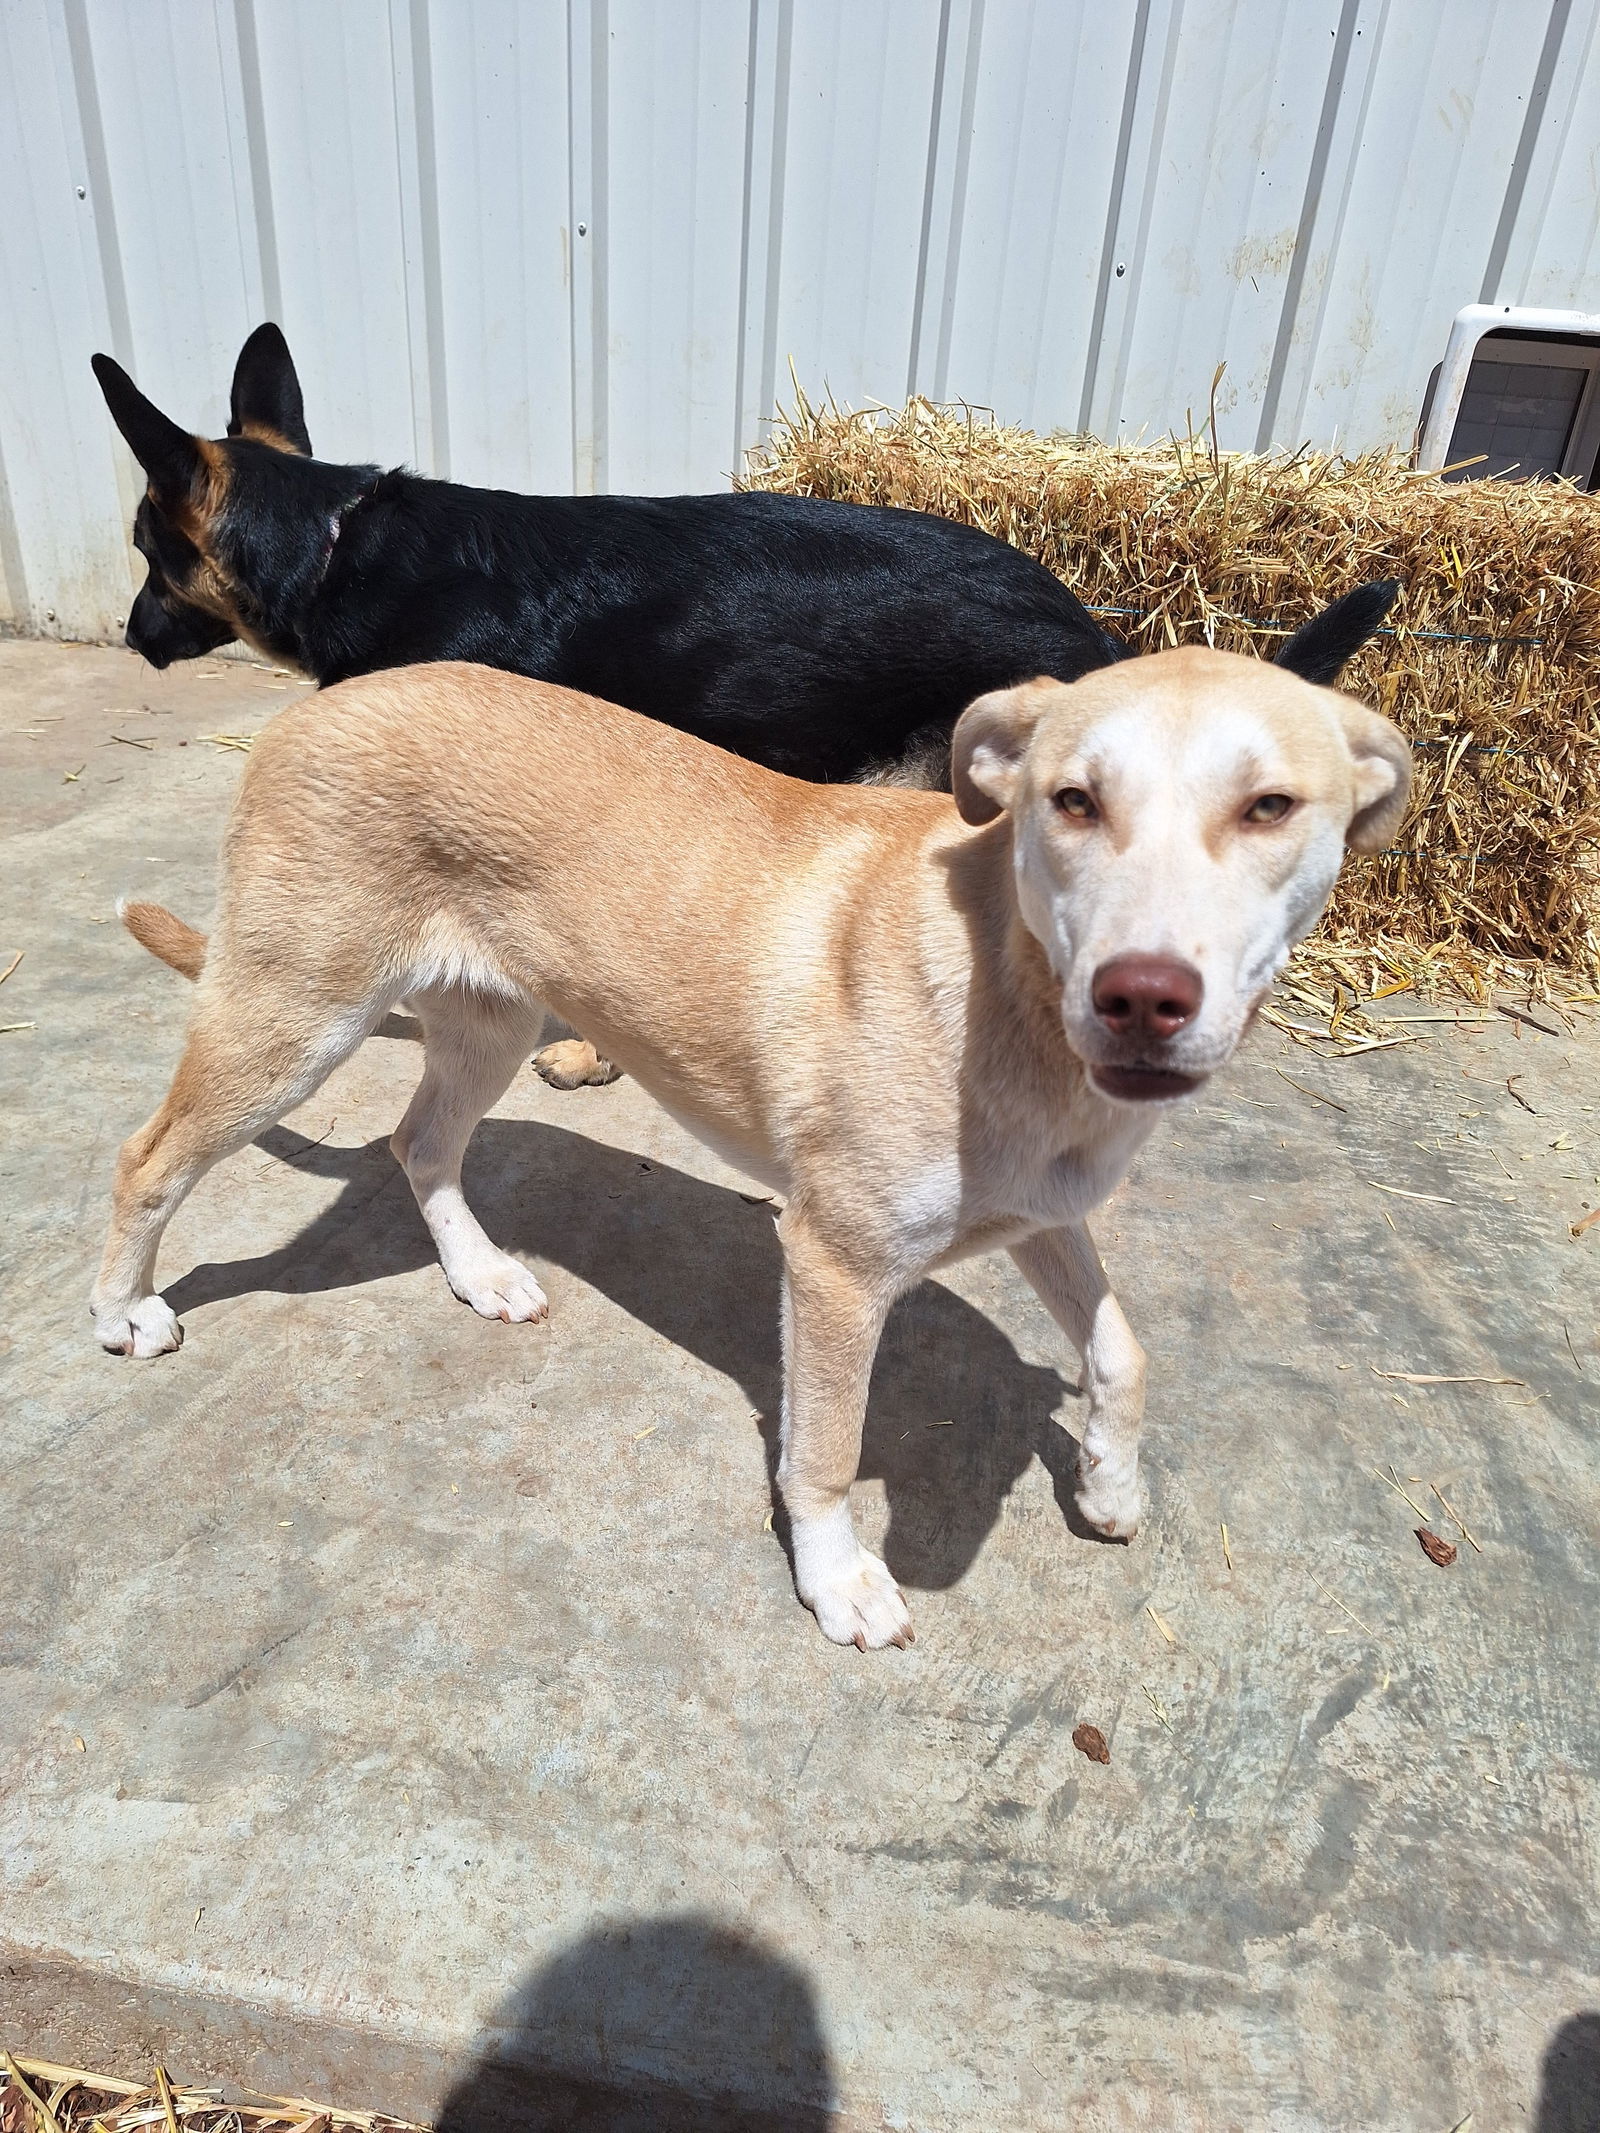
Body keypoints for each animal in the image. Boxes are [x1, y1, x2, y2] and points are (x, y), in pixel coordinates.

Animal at [93, 618, 1408, 1646]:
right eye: (1070, 802)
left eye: (1270, 808)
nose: (1140, 997)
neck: (1008, 985)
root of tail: (313, 709)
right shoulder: (833, 1264)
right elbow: (824, 1450)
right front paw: (837, 1582)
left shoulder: (1042, 1214)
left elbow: (1124, 1353)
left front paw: (1110, 1482)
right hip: (293, 1021)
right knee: (147, 1158)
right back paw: (122, 1313)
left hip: (490, 1024)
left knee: (418, 1146)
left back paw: (479, 1275)